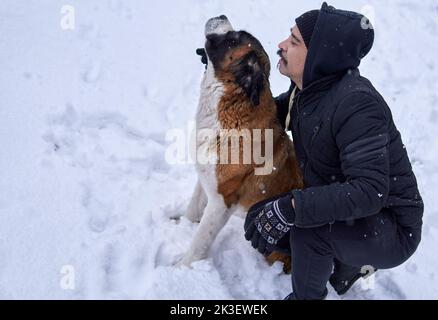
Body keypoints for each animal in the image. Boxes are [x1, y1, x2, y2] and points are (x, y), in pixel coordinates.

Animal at [176, 15, 302, 270]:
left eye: (233, 39)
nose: (222, 15)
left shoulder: (221, 202)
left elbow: (200, 240)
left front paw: (181, 268)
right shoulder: (206, 177)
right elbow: (194, 207)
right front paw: (182, 223)